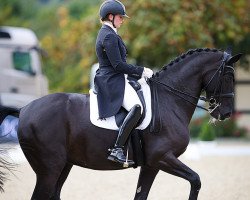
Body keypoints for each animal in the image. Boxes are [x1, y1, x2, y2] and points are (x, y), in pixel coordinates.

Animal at [0, 48, 242, 198]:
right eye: (229, 76)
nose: (226, 113)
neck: (169, 100)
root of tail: (24, 110)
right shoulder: (163, 158)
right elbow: (196, 180)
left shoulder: (151, 165)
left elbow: (141, 195)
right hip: (49, 169)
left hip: (63, 165)